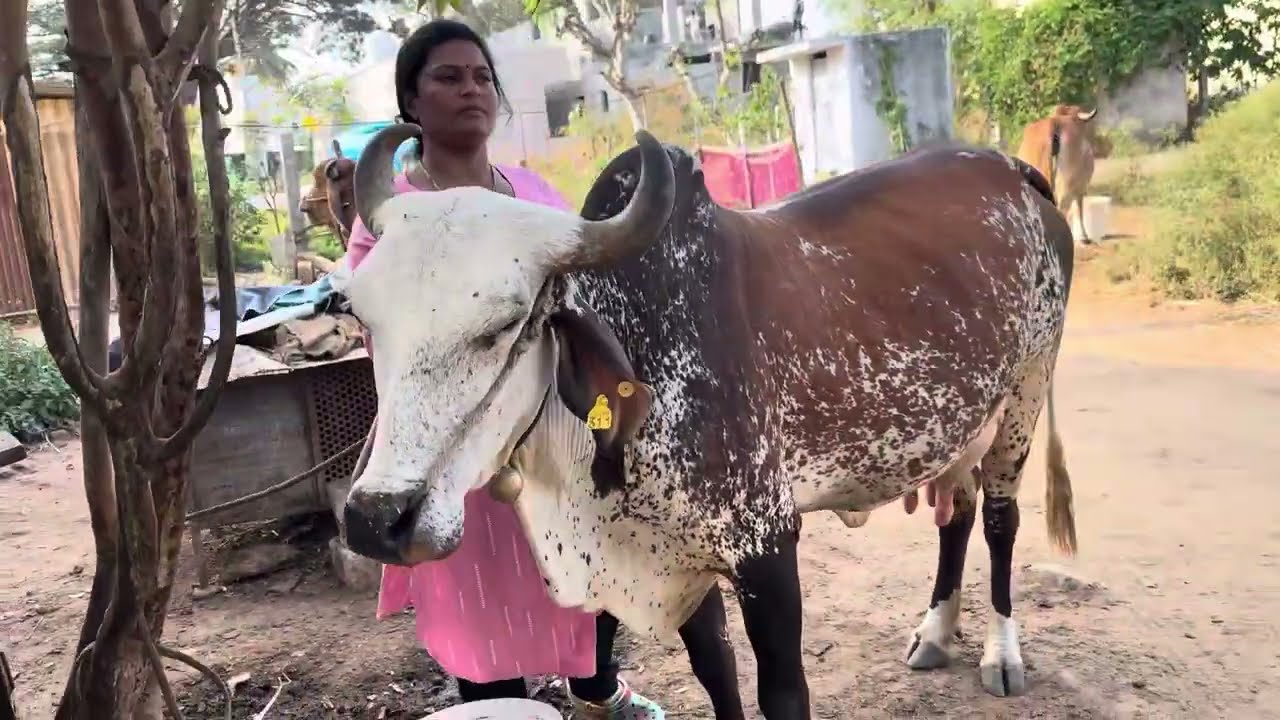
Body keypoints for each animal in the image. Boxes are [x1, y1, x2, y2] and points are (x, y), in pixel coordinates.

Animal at [335, 123, 1079, 718]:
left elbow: (783, 693)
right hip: (961, 422)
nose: (376, 518)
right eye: (365, 319)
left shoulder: (766, 545)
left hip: (1026, 391)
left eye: (502, 325)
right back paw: (935, 632)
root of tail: (1011, 167)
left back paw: (1000, 653)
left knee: (1000, 519)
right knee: (957, 511)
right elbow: (716, 675)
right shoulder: (677, 559)